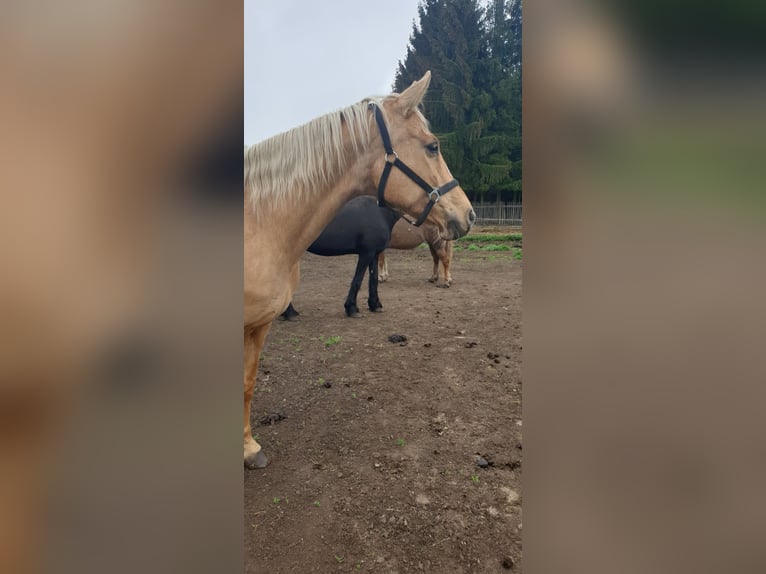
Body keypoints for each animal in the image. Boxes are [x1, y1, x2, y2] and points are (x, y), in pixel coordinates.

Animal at [244, 71, 476, 468]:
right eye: (432, 146)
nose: (469, 214)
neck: (260, 224)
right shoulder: (367, 251)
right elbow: (361, 278)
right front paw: (355, 306)